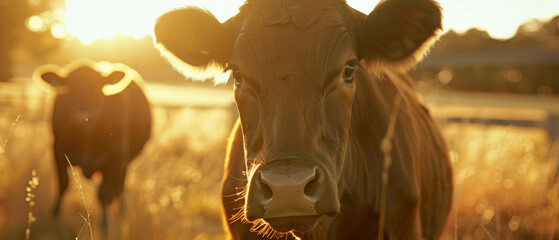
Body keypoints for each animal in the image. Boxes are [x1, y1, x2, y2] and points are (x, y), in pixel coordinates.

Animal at [34, 59, 152, 226]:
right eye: (68, 88)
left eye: (97, 88)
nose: (83, 116)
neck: (87, 139)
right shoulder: (57, 150)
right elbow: (63, 184)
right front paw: (53, 218)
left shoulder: (115, 158)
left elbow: (104, 193)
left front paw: (106, 225)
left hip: (126, 161)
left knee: (119, 186)